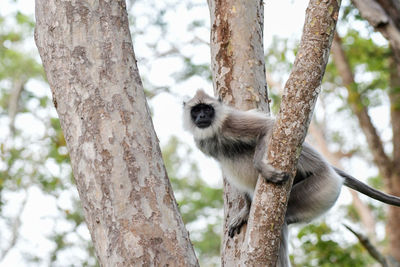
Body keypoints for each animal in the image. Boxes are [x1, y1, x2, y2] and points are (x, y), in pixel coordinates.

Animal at [183, 90, 400, 267]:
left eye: (207, 109)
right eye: (196, 111)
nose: (202, 116)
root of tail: (330, 169)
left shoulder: (231, 122)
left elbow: (268, 128)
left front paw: (264, 169)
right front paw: (245, 211)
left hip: (322, 187)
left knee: (279, 221)